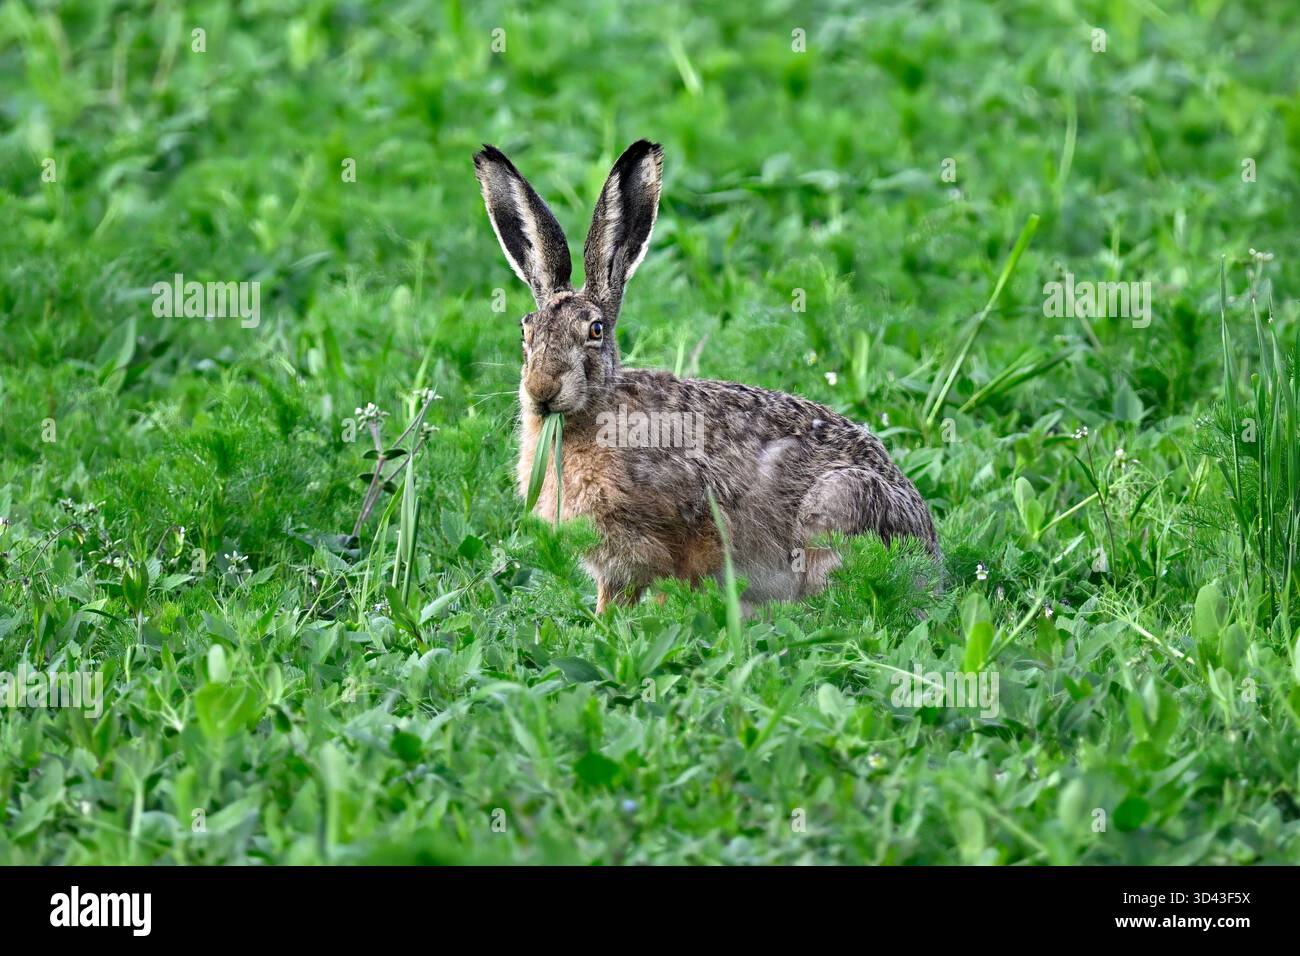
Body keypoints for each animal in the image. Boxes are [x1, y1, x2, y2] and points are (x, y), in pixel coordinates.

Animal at [474, 139, 940, 613]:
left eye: (595, 330)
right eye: (525, 331)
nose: (541, 389)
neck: (590, 415)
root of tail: (930, 556)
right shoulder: (616, 569)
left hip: (839, 504)